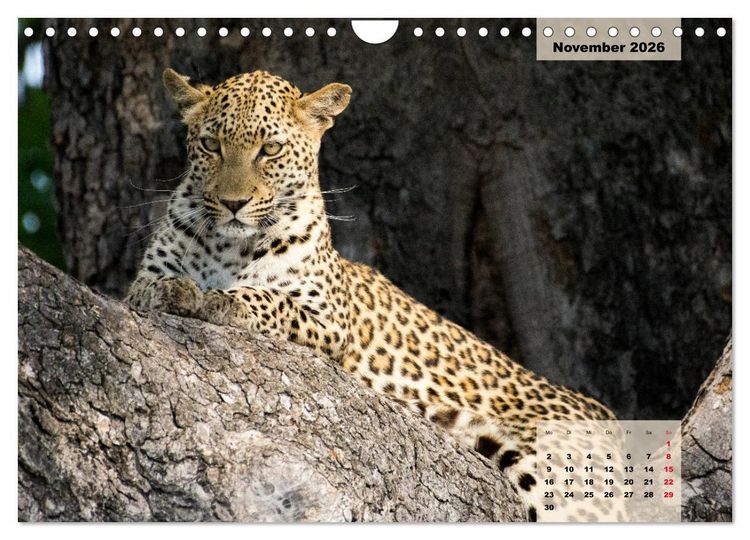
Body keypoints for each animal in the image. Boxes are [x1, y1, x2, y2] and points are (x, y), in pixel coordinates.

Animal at [127, 68, 619, 522]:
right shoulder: (141, 281)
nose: (233, 204)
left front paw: (223, 299)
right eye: (211, 145)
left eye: (270, 149)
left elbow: (270, 301)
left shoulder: (328, 321)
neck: (229, 246)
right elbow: (153, 287)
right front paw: (178, 291)